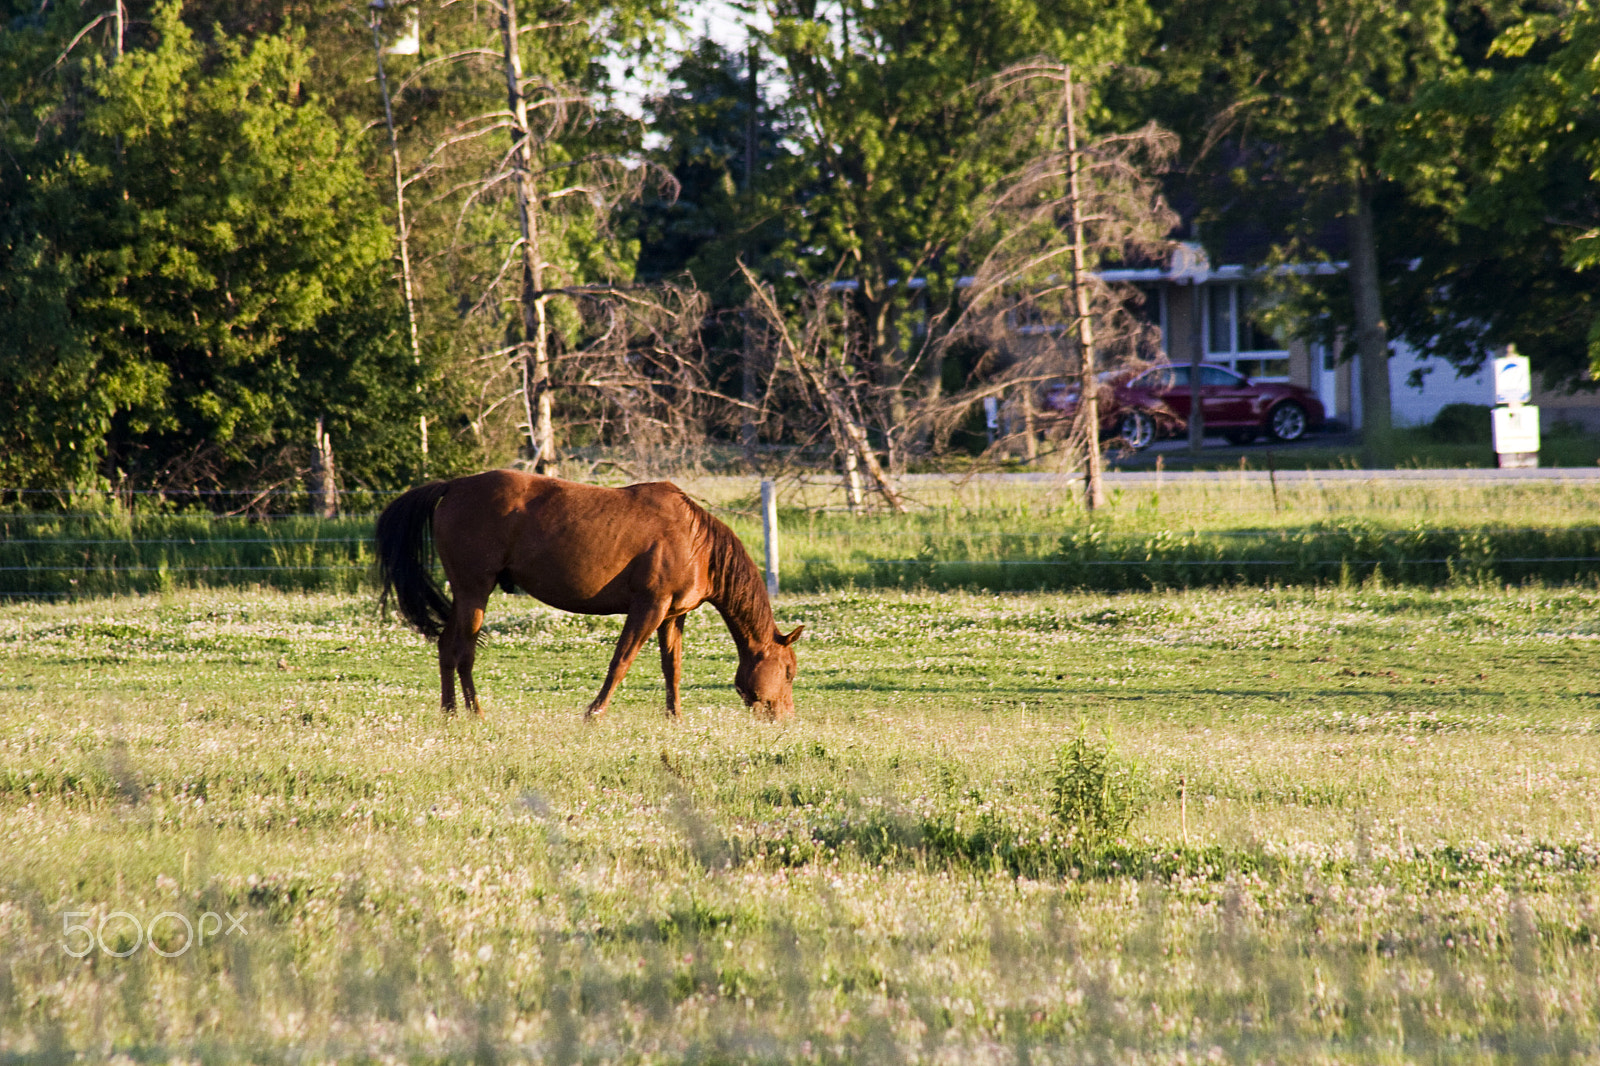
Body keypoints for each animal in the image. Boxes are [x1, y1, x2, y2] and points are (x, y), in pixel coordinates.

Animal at [374, 469, 802, 721]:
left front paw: (675, 718)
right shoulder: (649, 607)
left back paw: (451, 713)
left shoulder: (672, 615)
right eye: (789, 672)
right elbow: (622, 660)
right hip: (474, 591)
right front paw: (594, 712)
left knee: (449, 648)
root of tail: (451, 486)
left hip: (468, 595)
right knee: (461, 651)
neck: (695, 541)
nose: (784, 718)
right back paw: (473, 713)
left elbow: (673, 668)